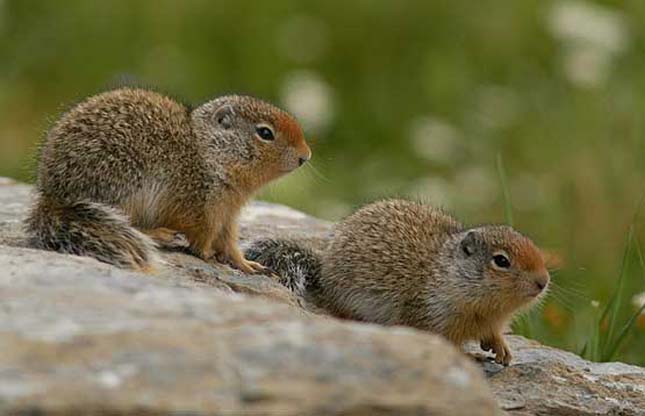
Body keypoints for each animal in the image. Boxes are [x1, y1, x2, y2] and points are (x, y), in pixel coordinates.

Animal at [26, 88, 314, 272]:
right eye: (265, 133)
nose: (306, 156)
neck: (208, 154)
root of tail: (53, 197)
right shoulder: (204, 211)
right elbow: (203, 239)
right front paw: (208, 255)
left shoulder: (228, 215)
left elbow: (230, 244)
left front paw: (249, 265)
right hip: (125, 192)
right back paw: (160, 234)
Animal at [247, 198, 548, 364]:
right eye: (501, 261)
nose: (543, 282)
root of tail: (322, 268)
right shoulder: (431, 318)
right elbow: (448, 346)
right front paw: (471, 356)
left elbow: (494, 334)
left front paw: (502, 350)